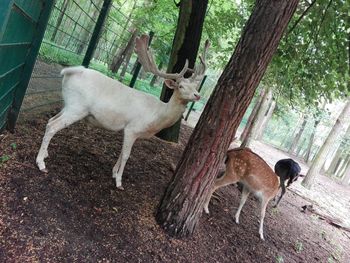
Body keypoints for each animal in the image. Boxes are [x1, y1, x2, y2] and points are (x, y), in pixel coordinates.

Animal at [37, 34, 209, 190]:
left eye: (195, 86)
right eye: (180, 86)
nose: (197, 95)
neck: (157, 116)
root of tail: (68, 72)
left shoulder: (129, 131)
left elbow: (121, 152)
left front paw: (113, 173)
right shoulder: (133, 128)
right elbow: (126, 155)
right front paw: (119, 182)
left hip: (68, 104)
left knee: (50, 120)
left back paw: (45, 154)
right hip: (77, 107)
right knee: (53, 126)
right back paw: (41, 163)